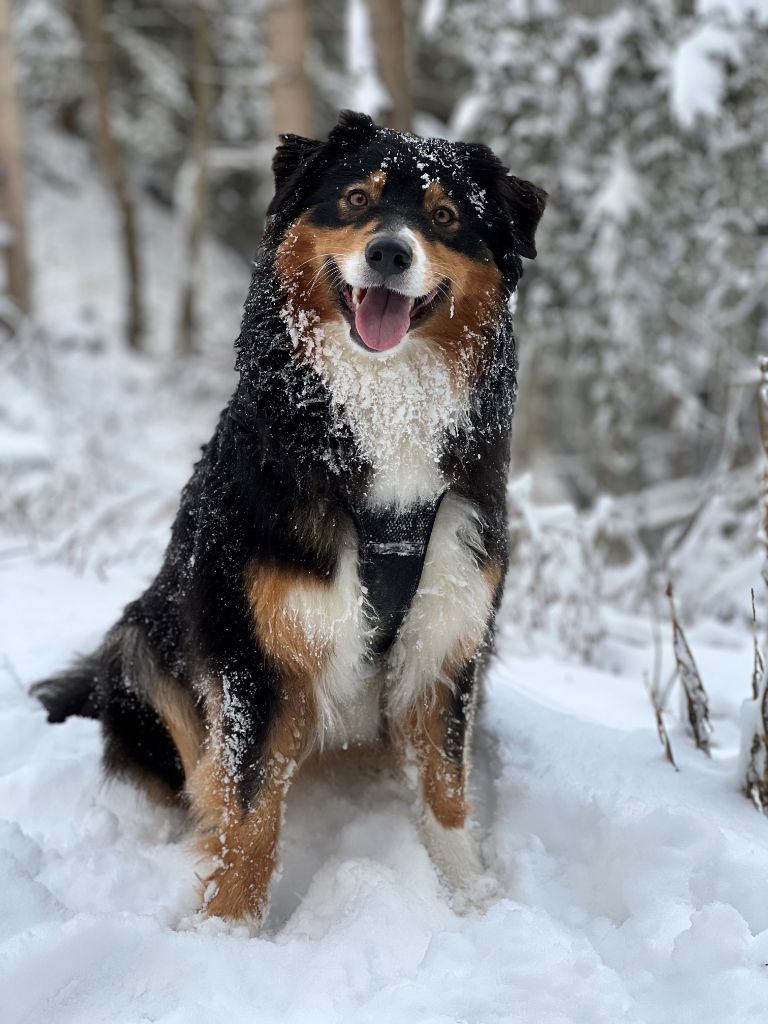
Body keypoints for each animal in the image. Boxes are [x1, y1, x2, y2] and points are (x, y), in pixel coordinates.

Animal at [31, 112, 548, 929]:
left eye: (444, 217)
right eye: (358, 197)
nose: (390, 252)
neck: (384, 410)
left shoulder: (449, 635)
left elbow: (445, 786)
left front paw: (468, 899)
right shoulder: (254, 648)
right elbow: (249, 815)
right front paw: (228, 931)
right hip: (144, 639)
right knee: (201, 771)